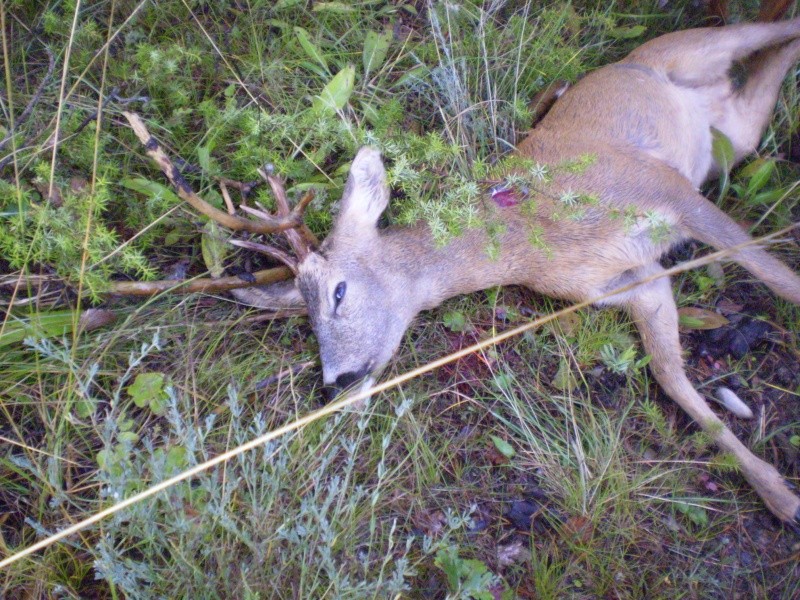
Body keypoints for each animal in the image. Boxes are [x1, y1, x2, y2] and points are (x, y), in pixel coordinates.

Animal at [260, 18, 800, 524]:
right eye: (307, 318)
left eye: (338, 292)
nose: (337, 382)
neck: (528, 237)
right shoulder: (626, 281)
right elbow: (669, 373)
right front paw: (778, 494)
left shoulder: (665, 189)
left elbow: (777, 275)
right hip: (732, 135)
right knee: (762, 82)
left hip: (692, 57)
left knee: (767, 33)